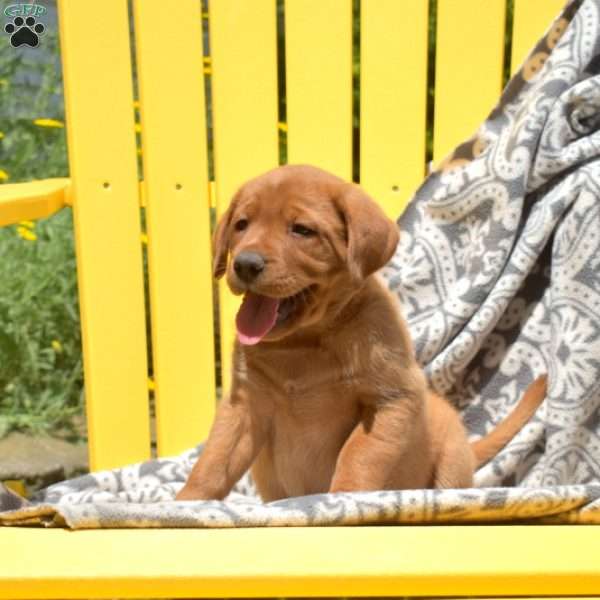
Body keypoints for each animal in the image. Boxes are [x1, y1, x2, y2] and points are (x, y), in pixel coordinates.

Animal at [176, 164, 548, 502]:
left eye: (302, 230)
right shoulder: (244, 403)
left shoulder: (391, 399)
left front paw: (345, 498)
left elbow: (359, 454)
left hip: (452, 460)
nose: (245, 264)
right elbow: (214, 459)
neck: (304, 342)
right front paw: (187, 502)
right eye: (242, 224)